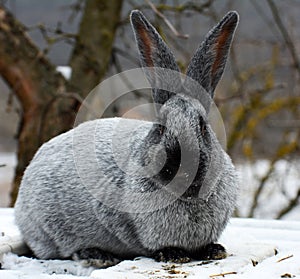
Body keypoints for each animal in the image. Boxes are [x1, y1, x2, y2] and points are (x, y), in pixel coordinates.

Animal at [14, 9, 239, 270]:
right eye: (159, 128)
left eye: (202, 127)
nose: (182, 167)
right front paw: (174, 254)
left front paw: (214, 250)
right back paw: (97, 255)